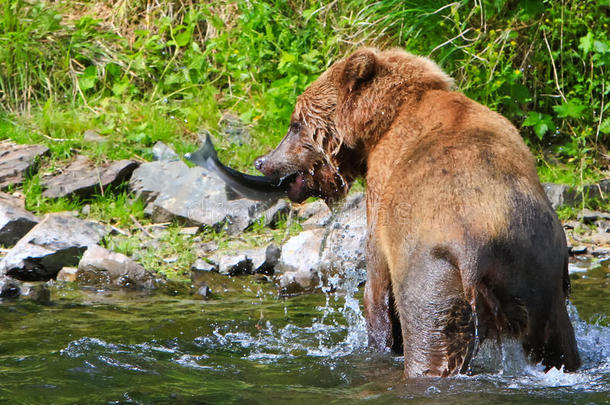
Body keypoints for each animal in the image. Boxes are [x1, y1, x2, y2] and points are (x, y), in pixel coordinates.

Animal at [253, 47, 580, 376]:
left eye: (296, 123)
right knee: (559, 342)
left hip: (432, 271)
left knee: (430, 334)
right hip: (537, 267)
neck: (380, 124)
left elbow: (377, 278)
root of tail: (478, 250)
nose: (262, 161)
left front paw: (380, 342)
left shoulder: (383, 187)